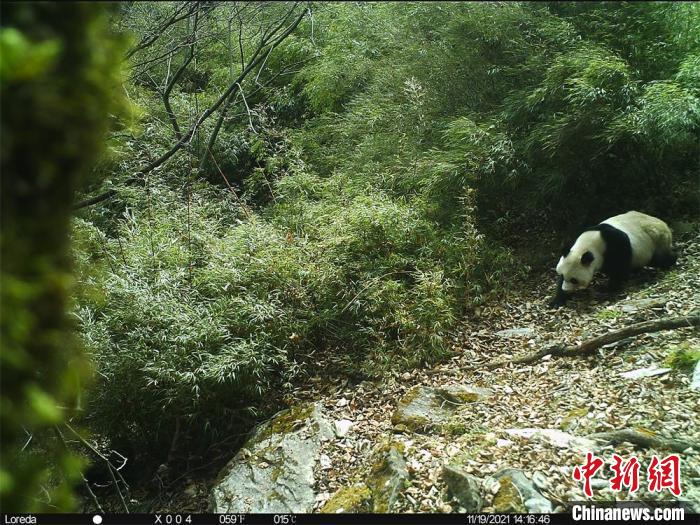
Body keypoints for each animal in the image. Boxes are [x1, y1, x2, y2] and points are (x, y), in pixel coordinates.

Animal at [548, 210, 676, 308]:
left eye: (574, 280)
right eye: (562, 275)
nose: (566, 289)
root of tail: (664, 224)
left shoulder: (615, 245)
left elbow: (619, 267)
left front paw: (609, 288)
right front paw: (557, 300)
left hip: (656, 241)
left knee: (660, 259)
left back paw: (671, 261)